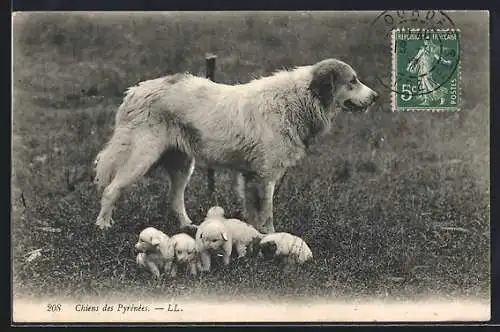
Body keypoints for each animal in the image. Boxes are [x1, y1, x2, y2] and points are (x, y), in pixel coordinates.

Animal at [93, 59, 378, 233]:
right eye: (352, 81)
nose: (375, 97)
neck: (298, 100)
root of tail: (135, 91)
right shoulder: (264, 177)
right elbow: (267, 214)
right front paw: (270, 237)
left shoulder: (250, 176)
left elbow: (254, 213)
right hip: (141, 158)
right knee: (111, 189)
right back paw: (103, 224)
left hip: (183, 165)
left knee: (175, 199)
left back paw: (187, 226)